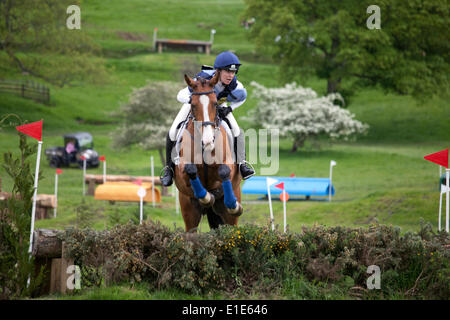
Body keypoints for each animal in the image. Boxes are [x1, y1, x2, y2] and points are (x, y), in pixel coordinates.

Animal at [173, 73, 243, 232]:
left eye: (215, 104)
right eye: (193, 105)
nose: (208, 141)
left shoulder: (228, 163)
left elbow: (224, 171)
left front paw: (233, 204)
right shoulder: (182, 171)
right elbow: (190, 170)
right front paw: (206, 197)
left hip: (230, 215)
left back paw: (233, 205)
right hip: (189, 211)